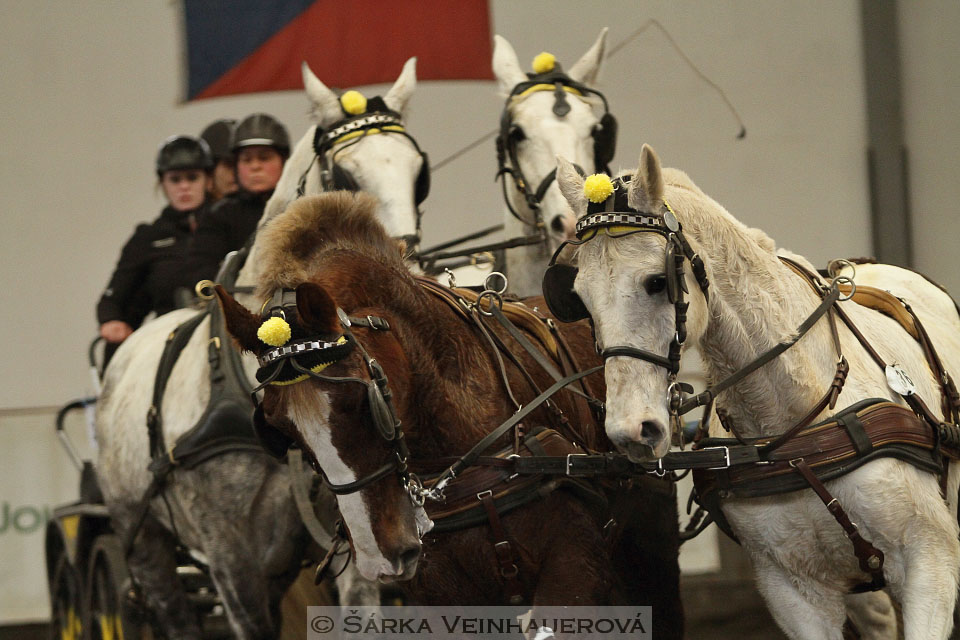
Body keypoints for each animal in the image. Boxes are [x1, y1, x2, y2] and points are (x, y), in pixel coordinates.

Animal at [96, 61, 424, 640]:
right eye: (346, 176)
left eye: (418, 172)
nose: (402, 275)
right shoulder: (230, 554)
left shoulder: (357, 513)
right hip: (145, 543)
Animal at [552, 145, 956, 640]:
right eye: (580, 298)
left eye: (656, 281)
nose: (632, 430)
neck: (792, 421)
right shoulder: (792, 590)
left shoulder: (930, 561)